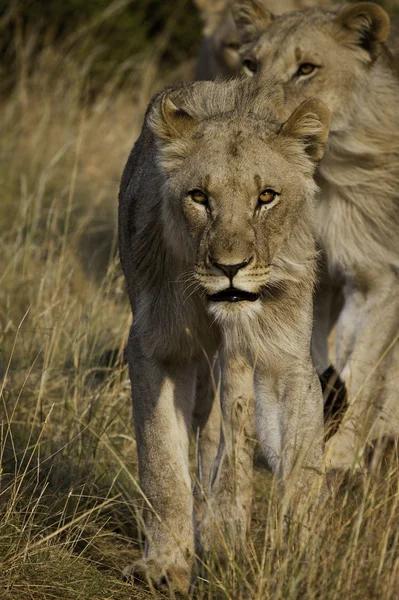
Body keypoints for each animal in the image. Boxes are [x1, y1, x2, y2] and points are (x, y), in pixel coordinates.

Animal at [119, 76, 332, 596]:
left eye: (267, 197)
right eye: (199, 197)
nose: (230, 268)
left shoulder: (284, 357)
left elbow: (303, 464)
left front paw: (303, 561)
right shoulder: (156, 347)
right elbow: (161, 462)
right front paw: (166, 564)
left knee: (233, 430)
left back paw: (225, 526)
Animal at [233, 0, 399, 468]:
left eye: (306, 68)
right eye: (251, 64)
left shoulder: (380, 277)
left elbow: (365, 368)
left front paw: (340, 456)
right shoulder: (306, 280)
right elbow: (309, 356)